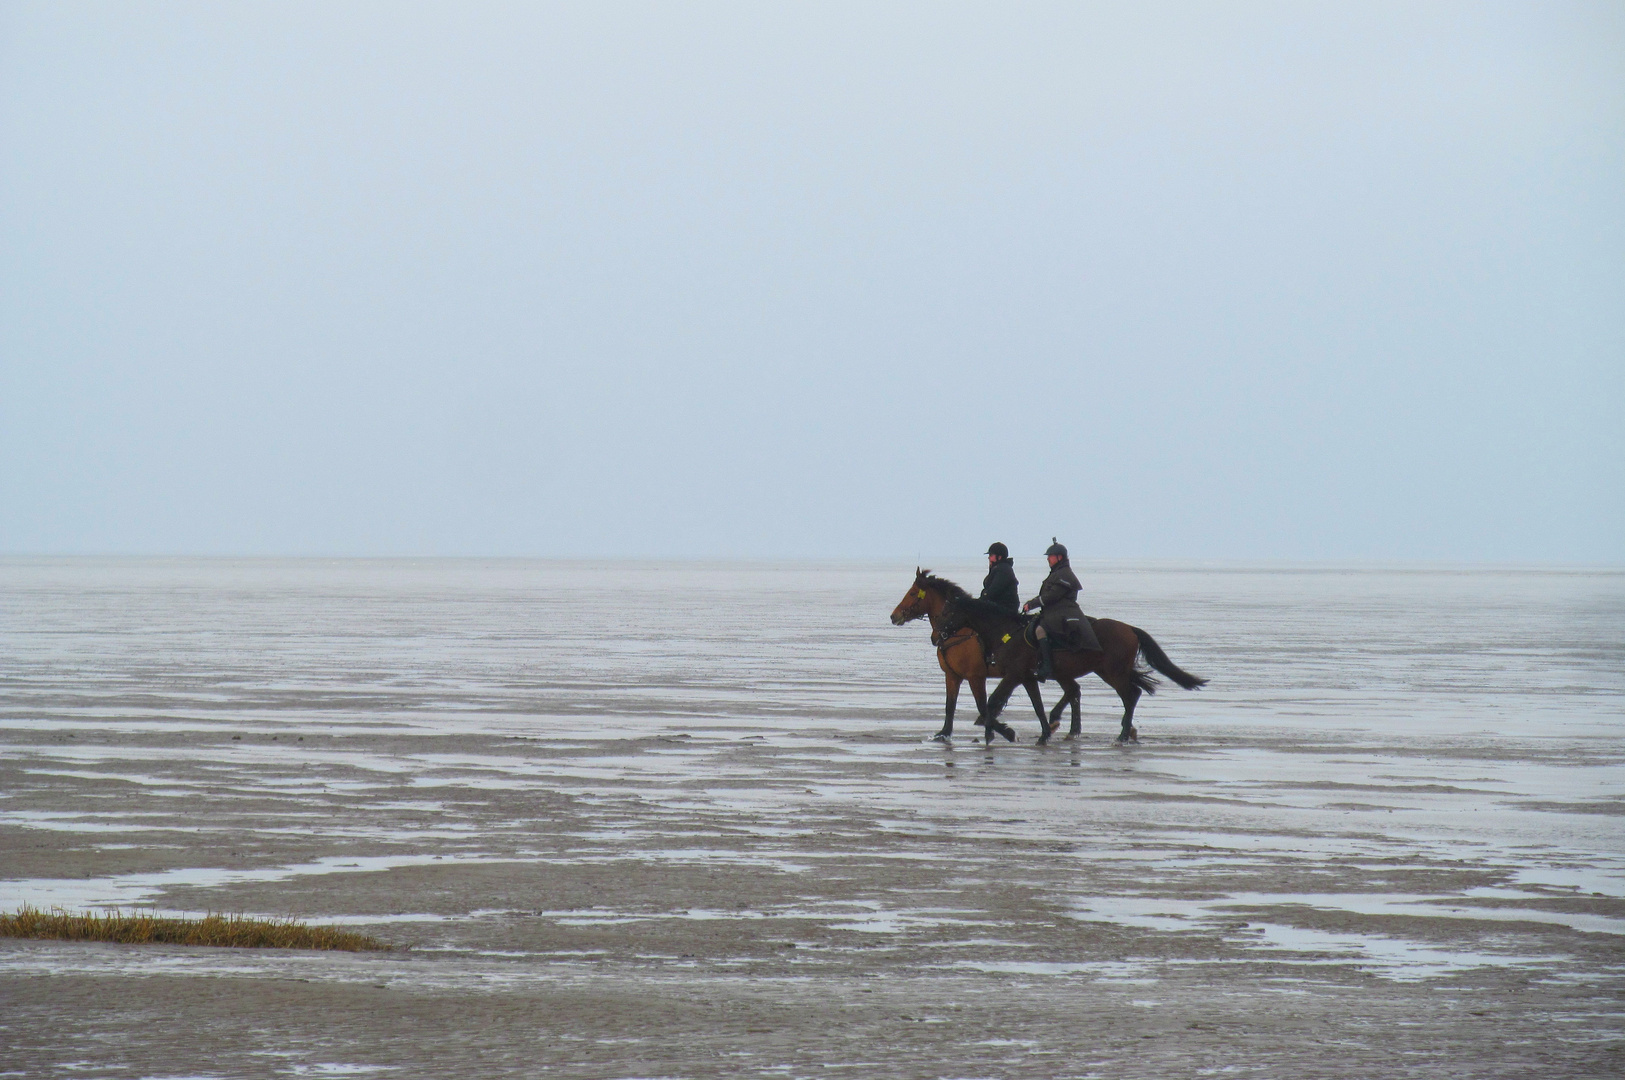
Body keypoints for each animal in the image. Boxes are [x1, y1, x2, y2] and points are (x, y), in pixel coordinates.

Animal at [890, 571, 1053, 740]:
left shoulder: (976, 677)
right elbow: (950, 705)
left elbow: (982, 706)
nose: (894, 616)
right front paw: (944, 733)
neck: (956, 633)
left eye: (912, 593)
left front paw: (1006, 732)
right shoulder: (952, 675)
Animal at [942, 594, 1209, 747]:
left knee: (1131, 695)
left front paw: (994, 734)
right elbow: (1036, 705)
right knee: (1097, 692)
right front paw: (1043, 734)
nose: (941, 635)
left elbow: (992, 701)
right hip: (1104, 672)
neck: (1007, 632)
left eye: (950, 612)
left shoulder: (1014, 675)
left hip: (1112, 673)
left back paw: (1122, 735)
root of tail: (1129, 629)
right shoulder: (1027, 677)